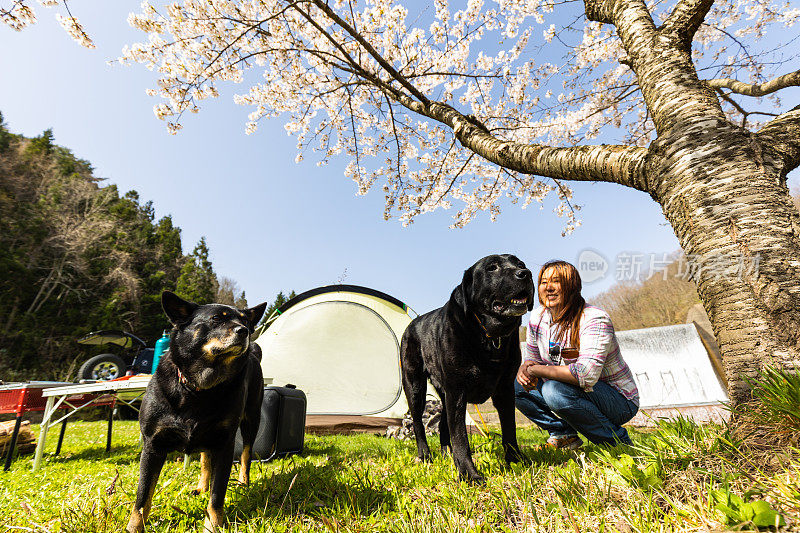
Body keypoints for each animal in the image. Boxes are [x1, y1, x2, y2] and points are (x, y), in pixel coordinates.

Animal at [126, 290, 268, 532]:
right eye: (216, 319)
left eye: (246, 321)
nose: (245, 331)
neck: (199, 387)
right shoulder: (153, 445)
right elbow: (143, 496)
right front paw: (134, 527)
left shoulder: (224, 443)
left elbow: (217, 495)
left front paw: (213, 524)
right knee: (204, 459)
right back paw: (201, 487)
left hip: (251, 420)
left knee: (246, 455)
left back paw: (243, 483)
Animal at [400, 254, 536, 482]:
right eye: (492, 268)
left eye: (520, 264)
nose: (525, 273)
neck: (489, 336)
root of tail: (410, 325)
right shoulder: (457, 391)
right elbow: (461, 437)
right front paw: (469, 474)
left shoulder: (505, 389)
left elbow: (509, 428)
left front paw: (516, 460)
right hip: (415, 387)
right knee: (419, 424)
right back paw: (425, 455)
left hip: (443, 393)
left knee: (443, 424)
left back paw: (446, 454)